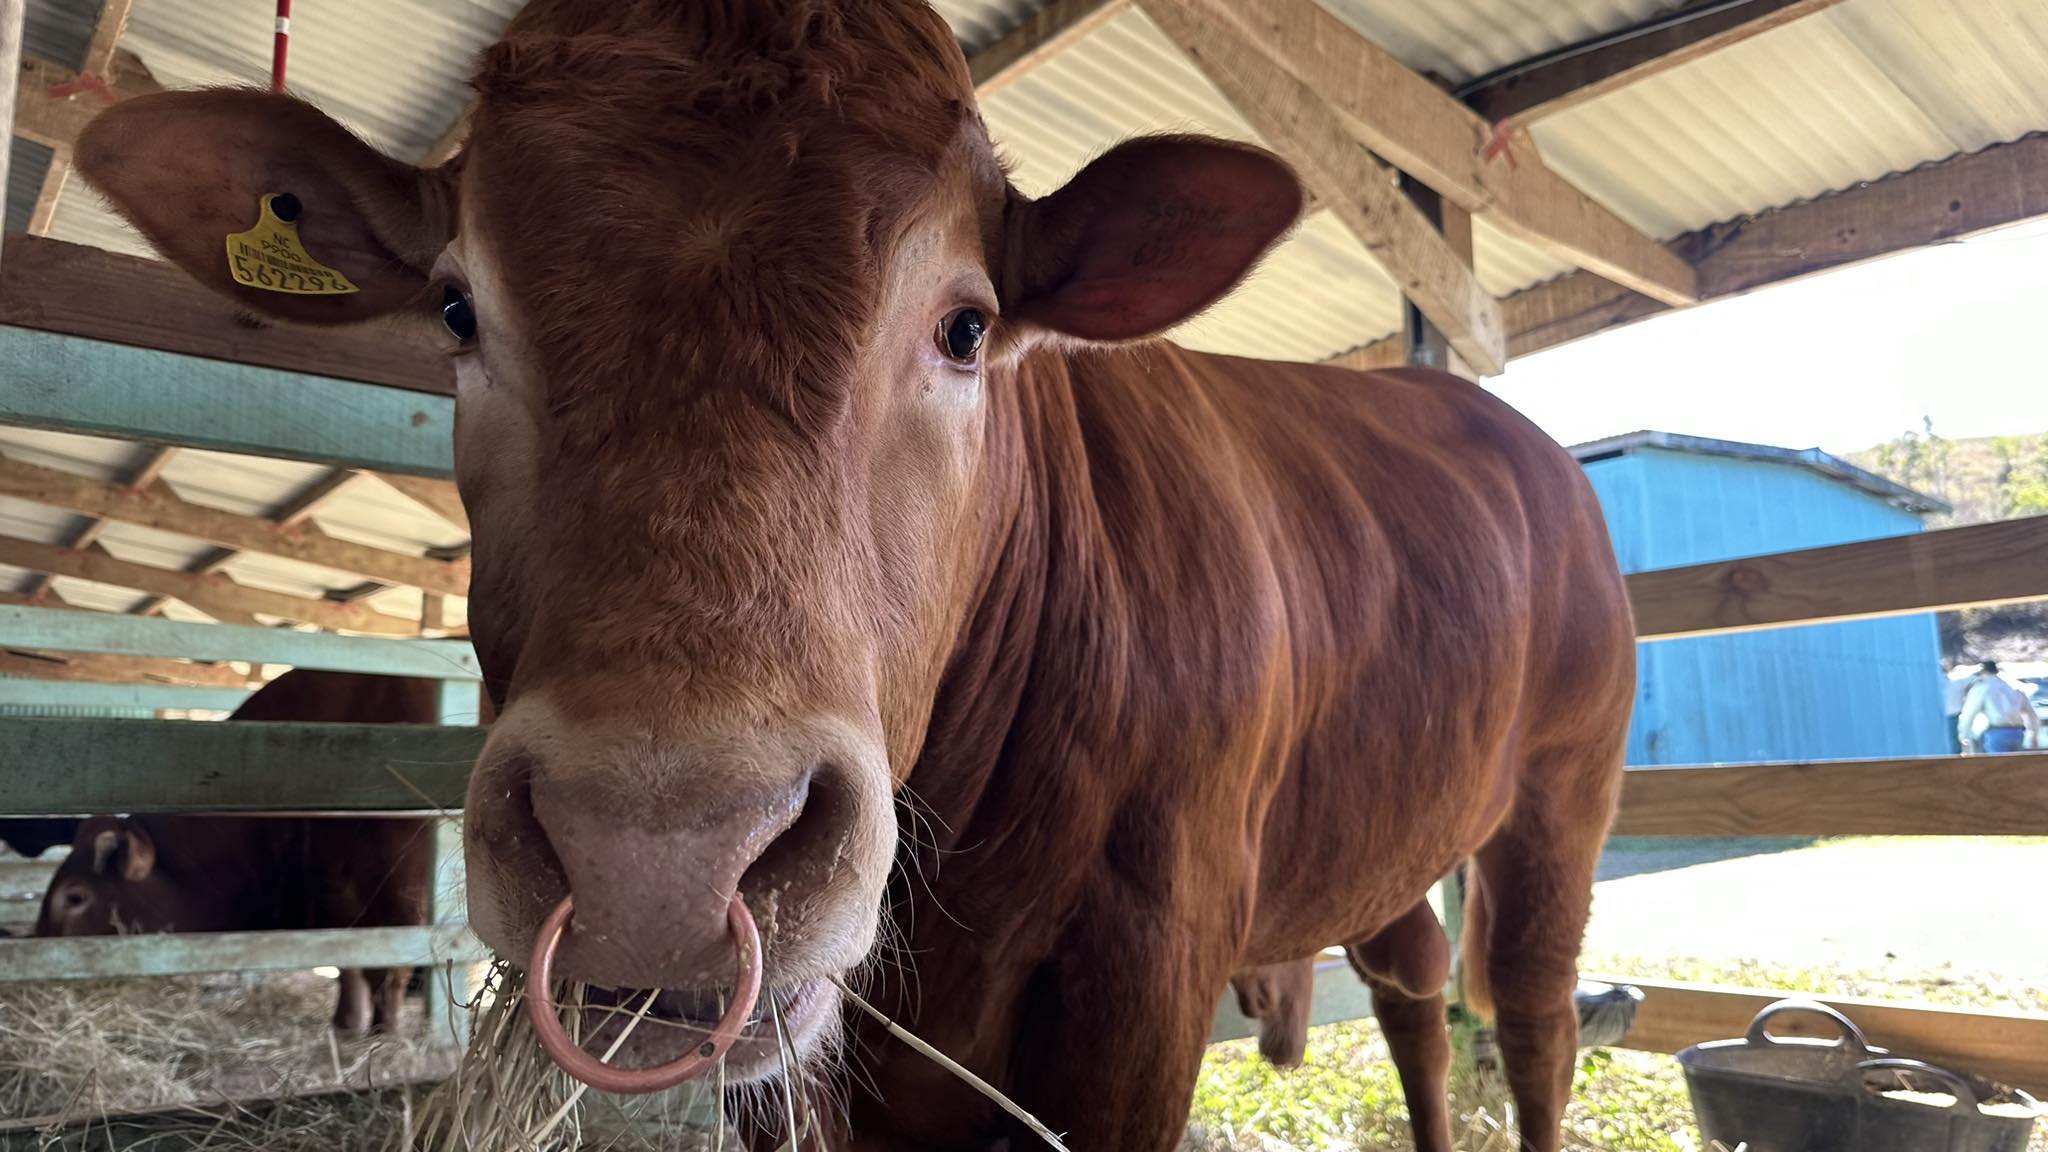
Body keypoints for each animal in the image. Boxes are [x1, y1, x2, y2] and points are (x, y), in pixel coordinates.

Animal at [33, 664, 440, 1033]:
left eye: (74, 897)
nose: (38, 946)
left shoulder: (400, 892)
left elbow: (390, 968)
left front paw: (383, 1035)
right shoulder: (336, 896)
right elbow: (352, 962)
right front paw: (348, 1027)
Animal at [75, 4, 1630, 1139]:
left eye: (966, 325)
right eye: (458, 309)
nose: (661, 850)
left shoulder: (1141, 992)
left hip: (1564, 793)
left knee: (1529, 1013)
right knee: (1415, 986)